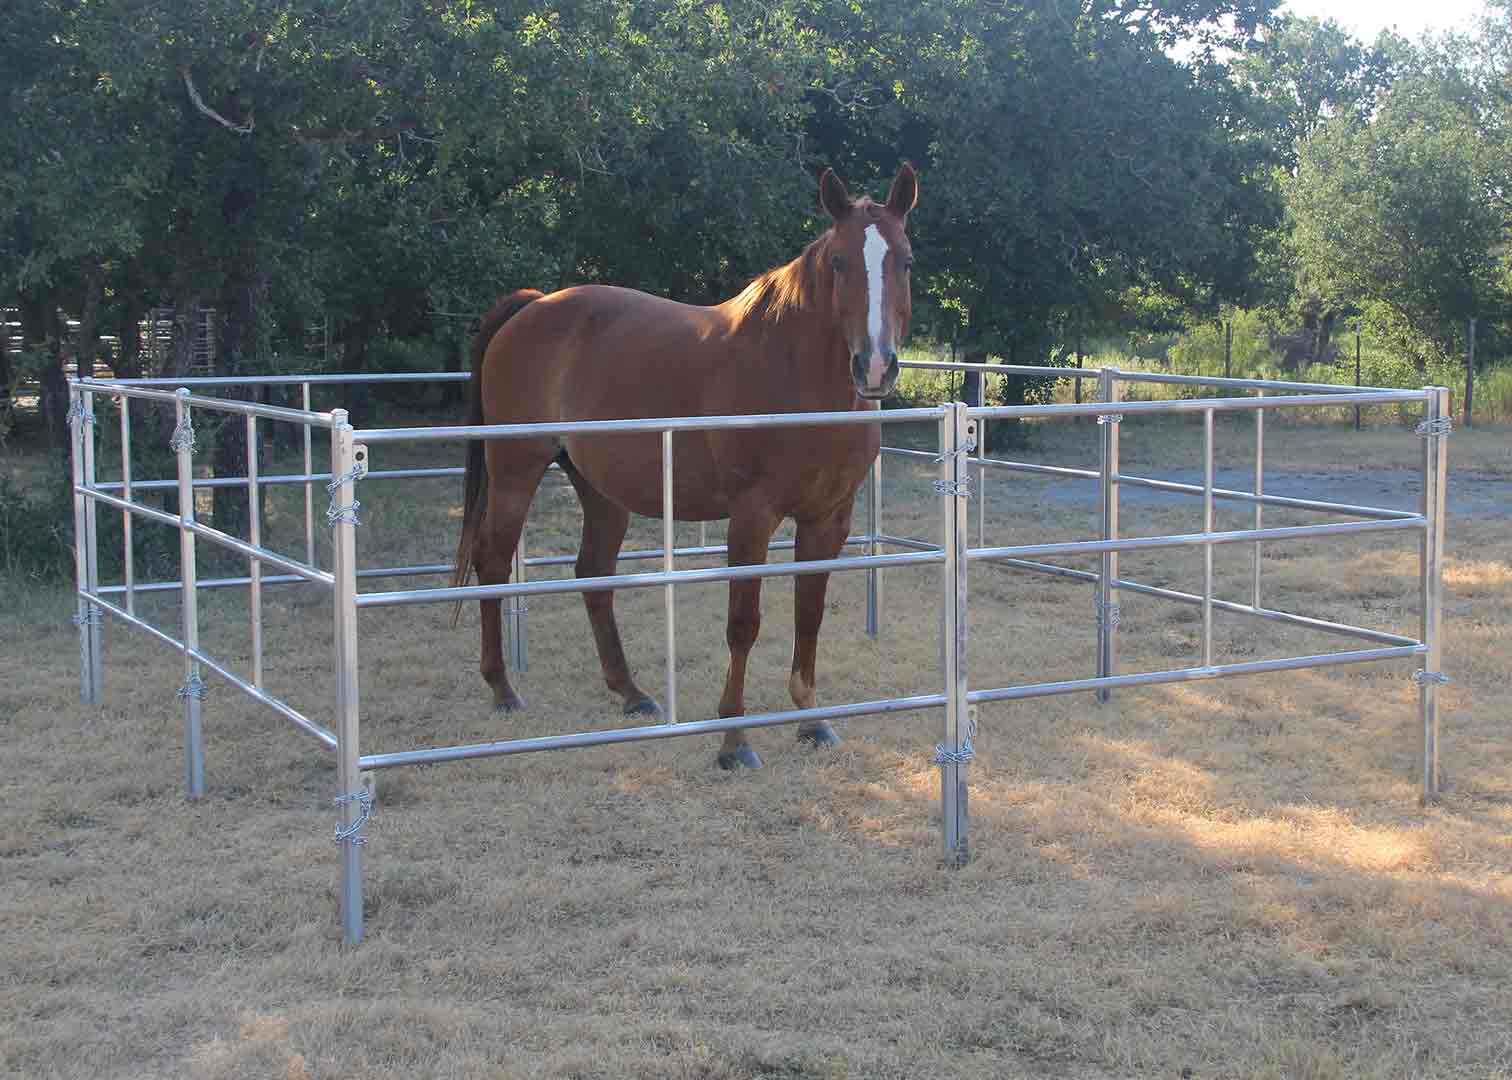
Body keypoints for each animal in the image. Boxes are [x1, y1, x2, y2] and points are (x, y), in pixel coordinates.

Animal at [452, 163, 918, 769]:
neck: (794, 374)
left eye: (905, 260)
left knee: (593, 573)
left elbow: (808, 614)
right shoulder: (751, 517)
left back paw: (631, 692)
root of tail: (531, 306)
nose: (876, 368)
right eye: (839, 261)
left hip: (601, 489)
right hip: (515, 473)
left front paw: (811, 721)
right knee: (492, 563)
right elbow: (743, 624)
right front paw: (734, 741)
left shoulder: (828, 521)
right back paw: (503, 688)